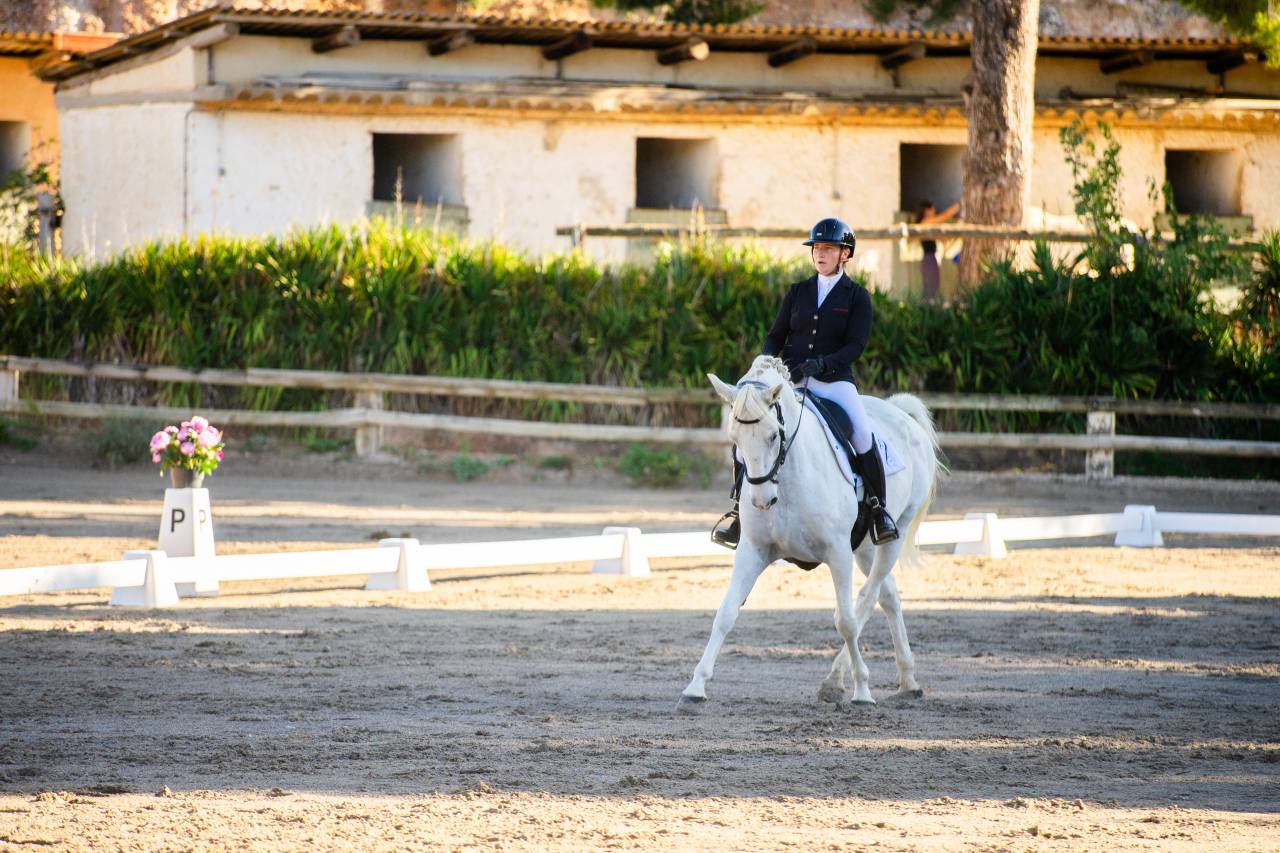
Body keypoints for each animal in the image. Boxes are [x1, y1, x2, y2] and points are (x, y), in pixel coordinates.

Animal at [677, 355, 943, 712]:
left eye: (774, 435)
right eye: (735, 439)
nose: (762, 501)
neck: (787, 480)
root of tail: (900, 411)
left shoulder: (838, 552)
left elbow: (845, 621)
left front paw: (862, 691)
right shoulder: (753, 551)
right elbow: (726, 613)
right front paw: (695, 687)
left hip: (893, 535)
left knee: (867, 599)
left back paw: (839, 681)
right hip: (864, 547)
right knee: (888, 596)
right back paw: (907, 681)